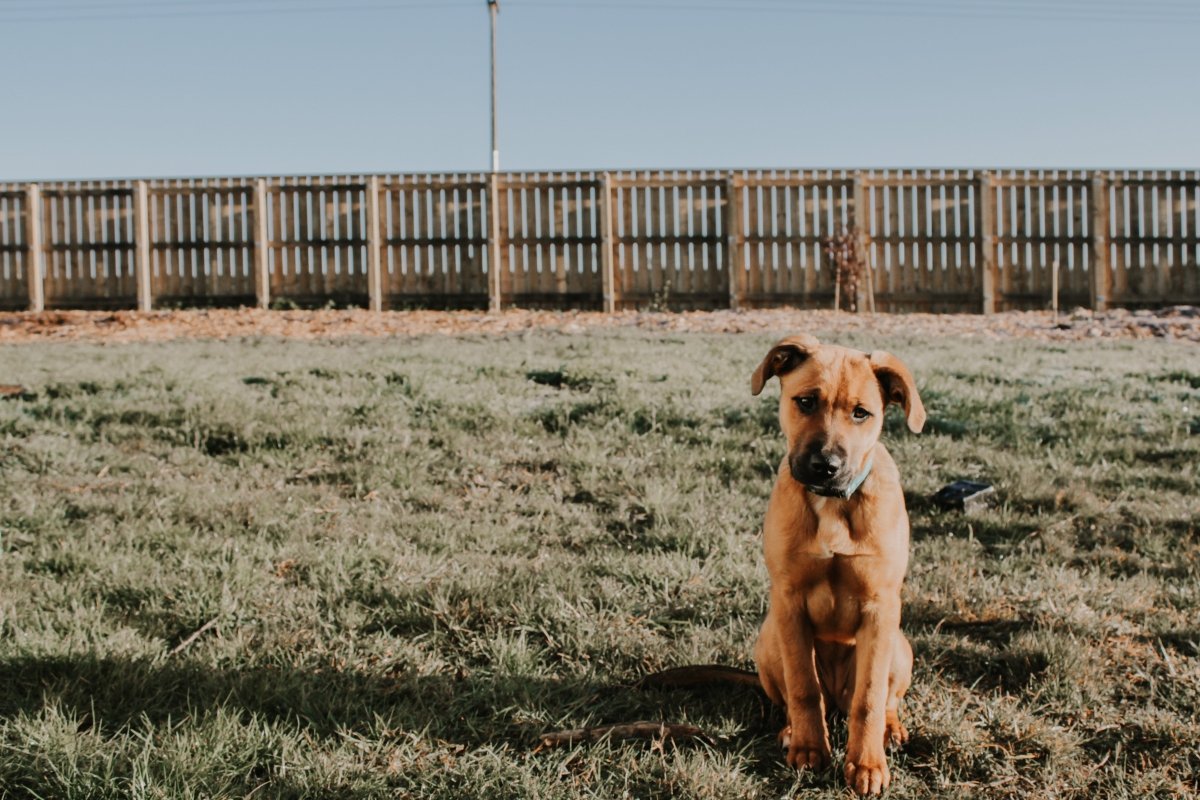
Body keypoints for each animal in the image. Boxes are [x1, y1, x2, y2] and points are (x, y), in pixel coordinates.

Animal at [748, 331, 926, 796]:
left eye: (861, 412)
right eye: (806, 401)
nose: (825, 467)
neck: (831, 504)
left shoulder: (880, 608)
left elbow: (869, 698)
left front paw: (867, 765)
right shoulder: (789, 601)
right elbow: (803, 687)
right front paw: (810, 749)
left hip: (900, 646)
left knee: (883, 699)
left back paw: (890, 731)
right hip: (769, 640)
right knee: (802, 695)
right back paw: (792, 730)